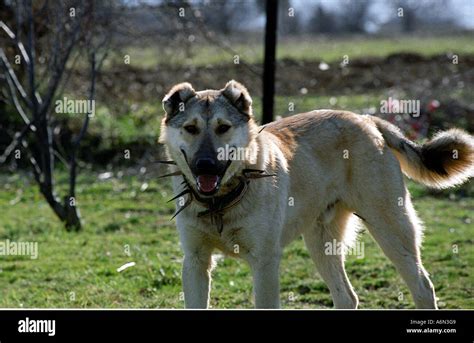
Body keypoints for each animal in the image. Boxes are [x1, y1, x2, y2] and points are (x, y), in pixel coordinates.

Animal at [159, 80, 474, 310]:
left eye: (223, 128)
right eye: (191, 128)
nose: (205, 165)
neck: (222, 200)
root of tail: (366, 119)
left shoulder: (265, 263)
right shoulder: (195, 261)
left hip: (391, 229)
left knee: (422, 287)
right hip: (322, 243)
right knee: (347, 297)